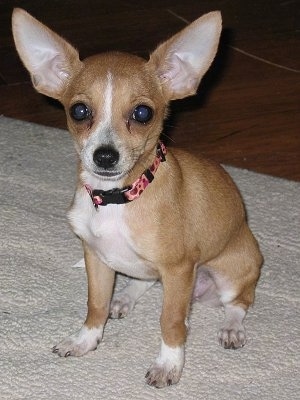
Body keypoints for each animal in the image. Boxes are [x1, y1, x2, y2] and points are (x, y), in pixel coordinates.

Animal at [11, 9, 262, 388]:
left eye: (143, 114)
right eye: (79, 111)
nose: (104, 156)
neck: (119, 198)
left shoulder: (178, 270)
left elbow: (171, 323)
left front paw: (168, 365)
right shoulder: (96, 259)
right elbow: (95, 306)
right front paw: (85, 340)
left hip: (232, 273)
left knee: (238, 303)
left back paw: (232, 328)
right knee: (142, 280)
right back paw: (125, 298)